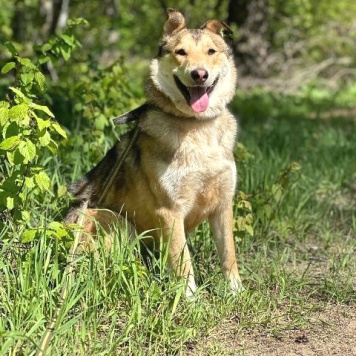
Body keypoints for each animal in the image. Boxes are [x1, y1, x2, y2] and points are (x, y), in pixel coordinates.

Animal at [65, 8, 243, 296]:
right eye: (181, 52)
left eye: (211, 51)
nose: (199, 74)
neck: (197, 126)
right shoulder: (170, 210)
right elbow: (183, 262)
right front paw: (189, 298)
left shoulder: (223, 203)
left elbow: (228, 253)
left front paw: (235, 291)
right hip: (112, 219)